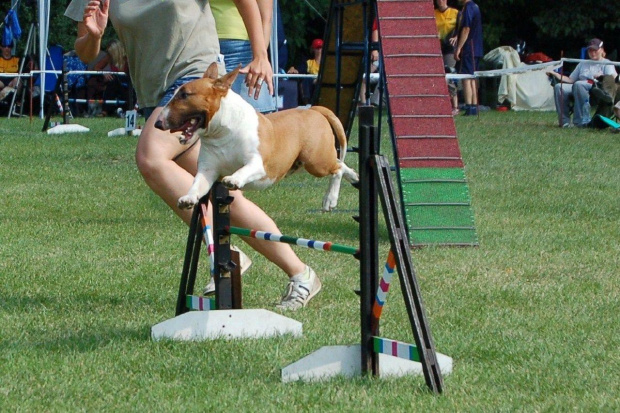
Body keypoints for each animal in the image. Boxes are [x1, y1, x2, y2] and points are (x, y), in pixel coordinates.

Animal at [154, 63, 358, 212]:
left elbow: (244, 169)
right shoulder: (208, 170)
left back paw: (330, 199)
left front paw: (233, 180)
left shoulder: (258, 163)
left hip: (315, 161)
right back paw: (354, 177)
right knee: (340, 164)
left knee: (337, 168)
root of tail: (313, 110)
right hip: (302, 162)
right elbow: (197, 183)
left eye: (184, 95)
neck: (222, 134)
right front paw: (188, 198)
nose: (157, 123)